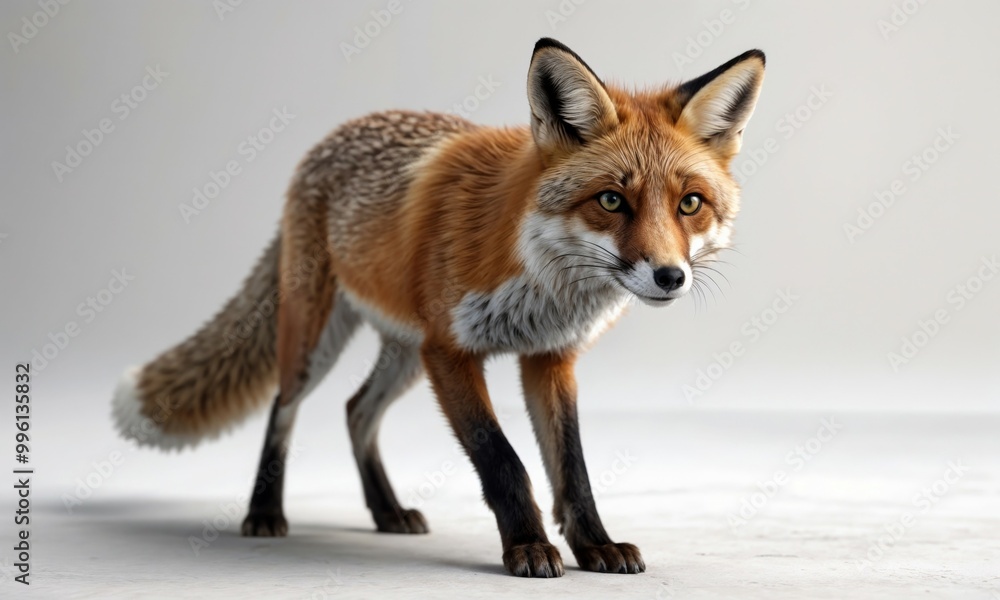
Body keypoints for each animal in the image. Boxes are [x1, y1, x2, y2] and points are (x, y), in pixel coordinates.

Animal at [112, 38, 765, 577]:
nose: (670, 276)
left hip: (405, 354)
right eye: (610, 201)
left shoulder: (549, 358)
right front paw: (528, 548)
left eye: (690, 204)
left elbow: (573, 469)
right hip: (321, 340)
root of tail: (332, 137)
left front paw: (595, 545)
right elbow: (503, 461)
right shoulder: (450, 352)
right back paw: (265, 512)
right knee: (283, 407)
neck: (538, 280)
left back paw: (386, 512)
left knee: (356, 411)